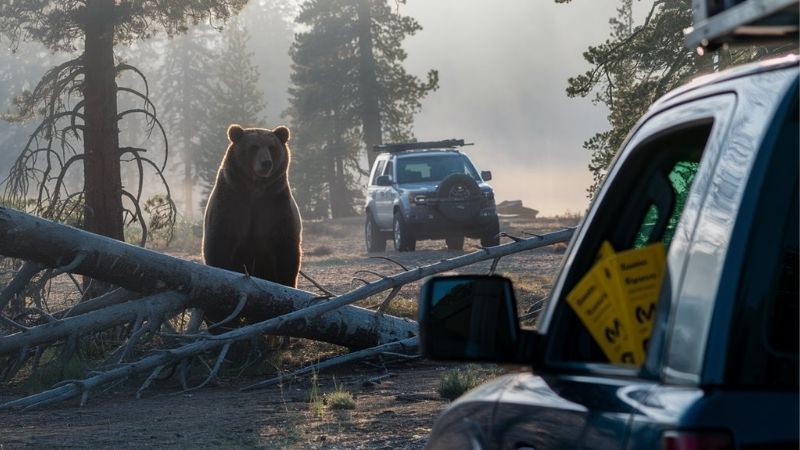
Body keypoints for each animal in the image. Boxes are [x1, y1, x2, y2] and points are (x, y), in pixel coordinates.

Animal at [201, 124, 302, 329]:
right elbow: (219, 245)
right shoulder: (231, 203)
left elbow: (286, 251)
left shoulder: (275, 206)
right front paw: (218, 311)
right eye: (254, 147)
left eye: (272, 147)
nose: (266, 163)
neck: (255, 189)